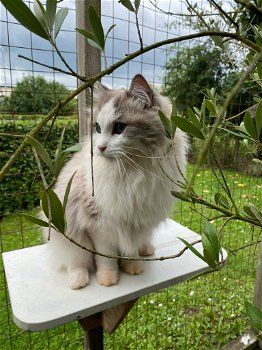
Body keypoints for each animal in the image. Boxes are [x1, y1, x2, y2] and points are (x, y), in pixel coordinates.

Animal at [42, 74, 187, 290]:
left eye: (120, 128)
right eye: (98, 128)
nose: (100, 148)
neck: (134, 171)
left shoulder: (135, 221)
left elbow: (129, 250)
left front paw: (132, 267)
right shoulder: (100, 225)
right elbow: (106, 257)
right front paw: (108, 279)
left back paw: (146, 250)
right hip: (69, 234)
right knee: (76, 262)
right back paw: (78, 281)